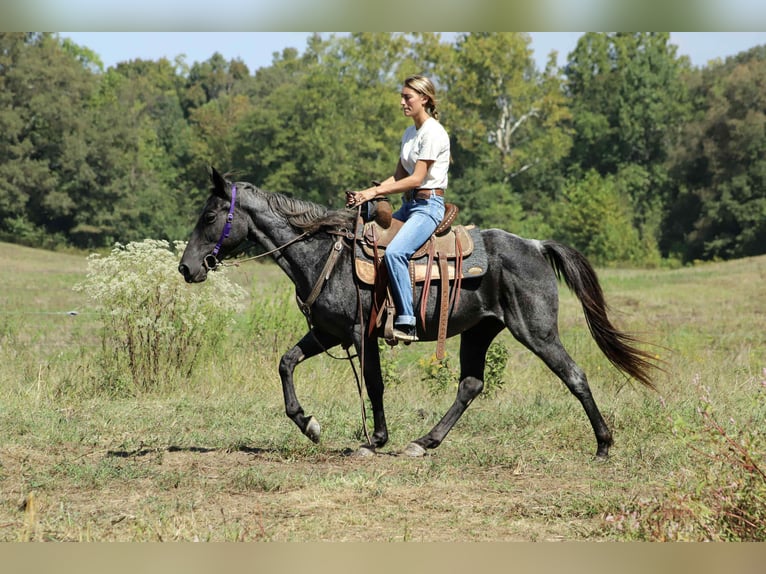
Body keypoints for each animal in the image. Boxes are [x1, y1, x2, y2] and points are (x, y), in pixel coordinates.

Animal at [178, 167, 659, 459]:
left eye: (210, 216)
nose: (186, 268)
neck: (323, 254)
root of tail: (536, 246)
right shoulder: (329, 332)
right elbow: (286, 363)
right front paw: (309, 424)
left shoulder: (360, 333)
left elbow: (373, 384)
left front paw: (374, 440)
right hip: (479, 331)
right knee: (470, 384)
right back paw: (425, 441)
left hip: (537, 332)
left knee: (573, 374)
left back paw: (603, 445)